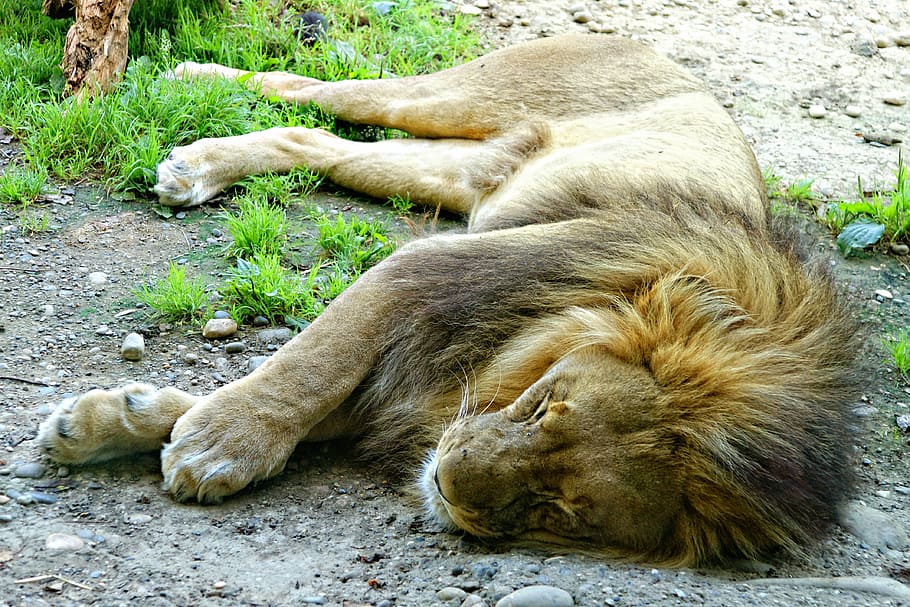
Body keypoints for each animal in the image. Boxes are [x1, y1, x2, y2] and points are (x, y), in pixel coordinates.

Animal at [37, 34, 861, 566]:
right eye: (544, 405)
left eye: (563, 509)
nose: (447, 482)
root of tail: (658, 49)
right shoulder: (438, 268)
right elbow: (314, 359)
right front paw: (219, 441)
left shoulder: (428, 384)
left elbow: (322, 395)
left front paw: (111, 421)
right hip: (458, 97)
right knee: (321, 91)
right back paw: (193, 78)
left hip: (459, 174)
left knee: (314, 139)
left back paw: (201, 165)